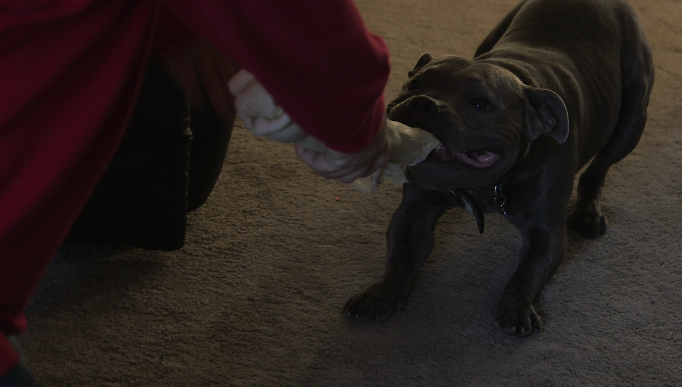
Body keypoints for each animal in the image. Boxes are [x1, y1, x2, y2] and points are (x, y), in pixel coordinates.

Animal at [342, 0, 652, 336]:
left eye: (481, 104)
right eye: (414, 84)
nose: (422, 102)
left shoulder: (547, 235)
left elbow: (526, 273)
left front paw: (516, 307)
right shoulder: (415, 213)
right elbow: (399, 256)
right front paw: (380, 293)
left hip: (632, 121)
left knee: (601, 166)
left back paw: (588, 212)